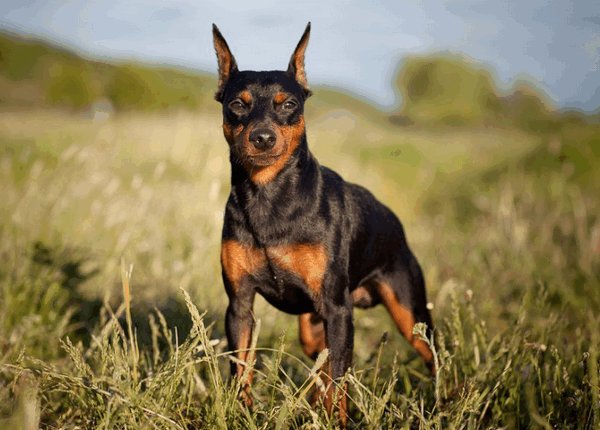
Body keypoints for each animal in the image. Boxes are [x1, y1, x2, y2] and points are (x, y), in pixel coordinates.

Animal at [213, 21, 434, 424]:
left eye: (289, 104)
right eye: (237, 104)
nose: (262, 138)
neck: (269, 197)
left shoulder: (337, 310)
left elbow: (340, 381)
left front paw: (338, 421)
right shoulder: (239, 305)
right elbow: (242, 370)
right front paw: (243, 414)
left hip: (410, 315)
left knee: (434, 359)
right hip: (312, 328)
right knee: (320, 370)